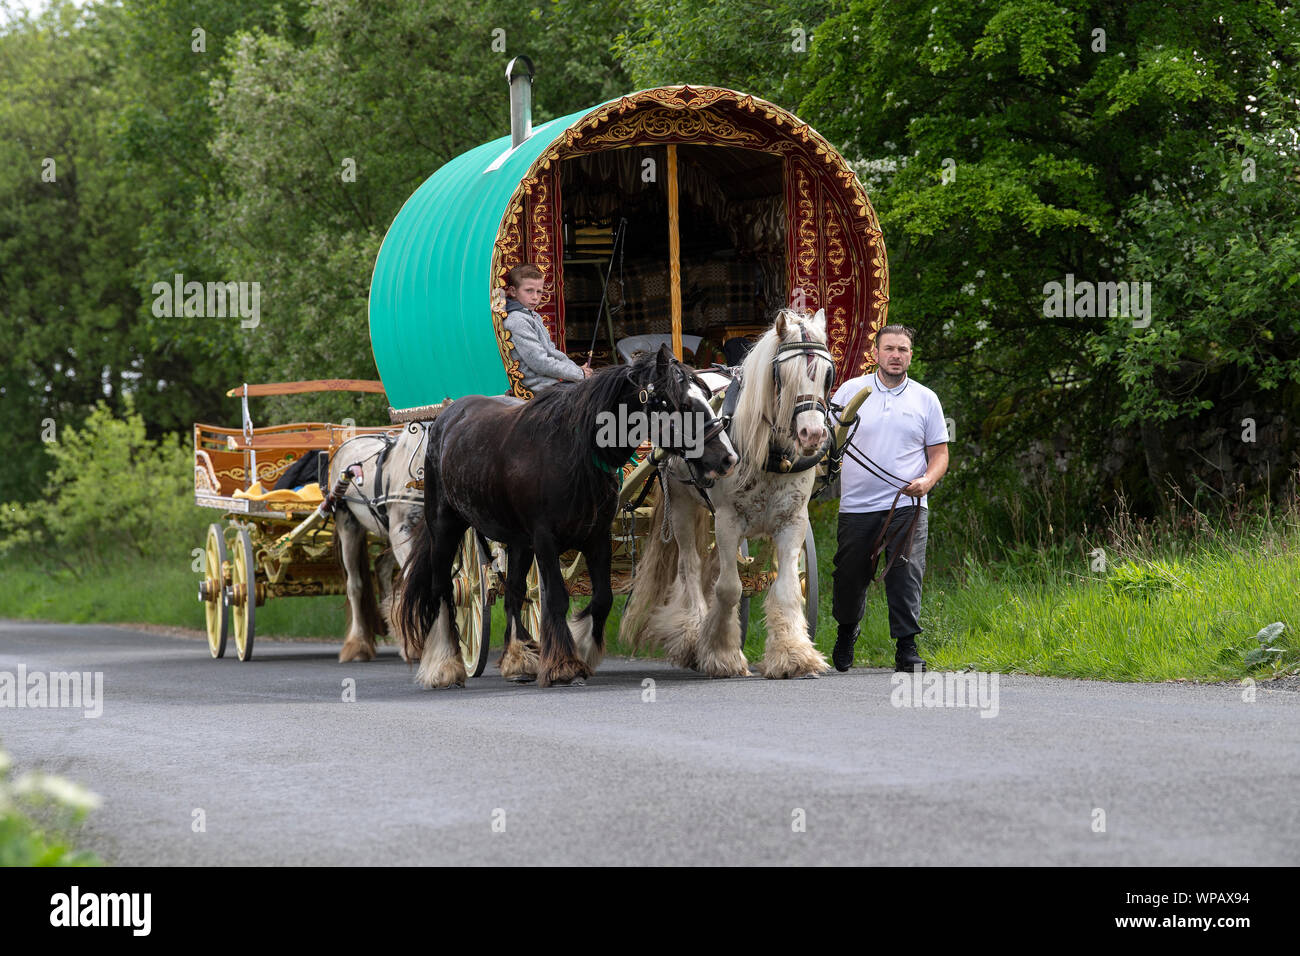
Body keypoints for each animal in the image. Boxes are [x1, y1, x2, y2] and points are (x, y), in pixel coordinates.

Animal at [395, 348, 738, 686]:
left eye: (707, 395)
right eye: (683, 404)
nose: (728, 458)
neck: (572, 451)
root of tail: (448, 414)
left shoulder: (597, 536)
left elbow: (602, 598)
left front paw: (582, 646)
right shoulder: (545, 539)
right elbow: (557, 598)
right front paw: (565, 665)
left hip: (518, 542)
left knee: (514, 593)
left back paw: (519, 658)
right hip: (446, 527)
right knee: (443, 591)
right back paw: (446, 665)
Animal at [624, 310, 837, 676]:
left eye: (827, 373)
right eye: (783, 375)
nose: (812, 434)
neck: (771, 455)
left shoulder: (792, 520)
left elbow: (788, 587)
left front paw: (793, 654)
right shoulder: (727, 520)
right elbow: (728, 588)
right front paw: (721, 654)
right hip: (682, 505)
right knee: (691, 567)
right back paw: (691, 636)